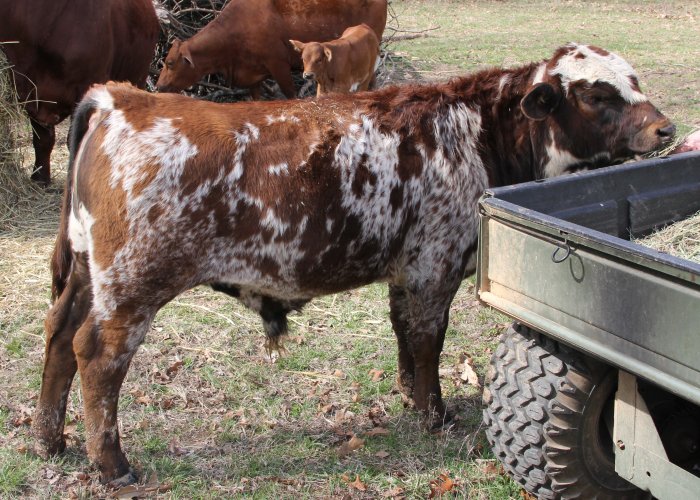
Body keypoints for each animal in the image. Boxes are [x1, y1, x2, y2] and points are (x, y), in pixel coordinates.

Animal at [34, 44, 674, 486]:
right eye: (597, 95)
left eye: (635, 82)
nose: (665, 128)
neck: (476, 132)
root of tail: (120, 98)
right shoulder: (434, 267)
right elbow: (428, 341)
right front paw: (434, 413)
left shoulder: (406, 272)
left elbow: (405, 337)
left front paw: (408, 394)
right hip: (132, 287)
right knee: (97, 357)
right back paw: (112, 464)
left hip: (88, 275)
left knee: (59, 336)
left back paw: (49, 440)